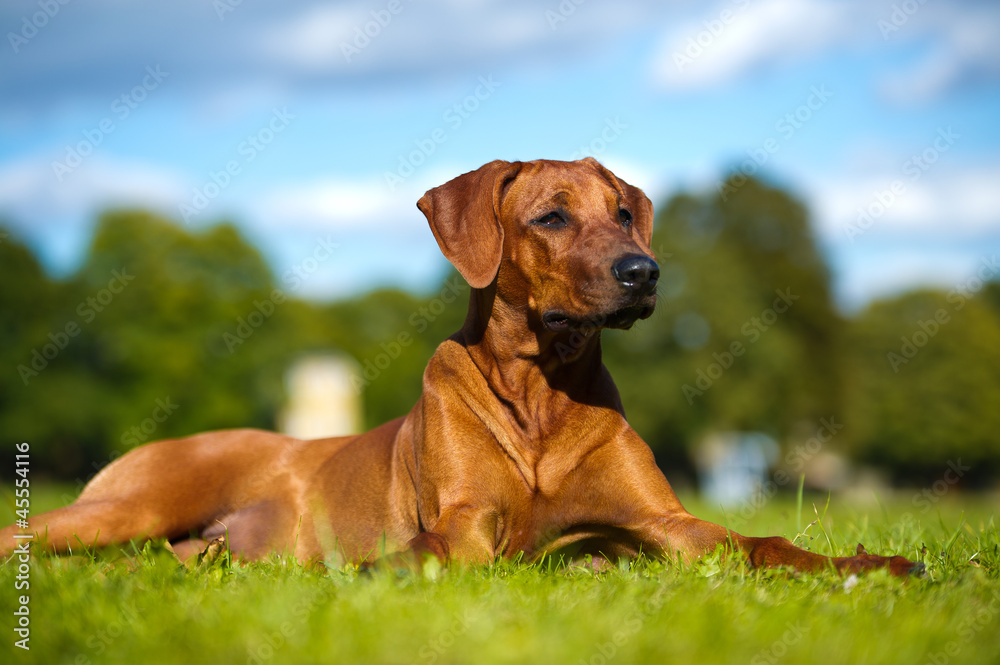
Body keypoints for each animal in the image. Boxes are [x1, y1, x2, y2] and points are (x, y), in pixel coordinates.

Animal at [0, 158, 920, 572]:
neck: (541, 391)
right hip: (129, 507)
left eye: (625, 213)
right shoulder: (468, 519)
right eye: (551, 217)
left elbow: (763, 541)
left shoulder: (664, 522)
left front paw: (866, 566)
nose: (644, 272)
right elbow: (436, 548)